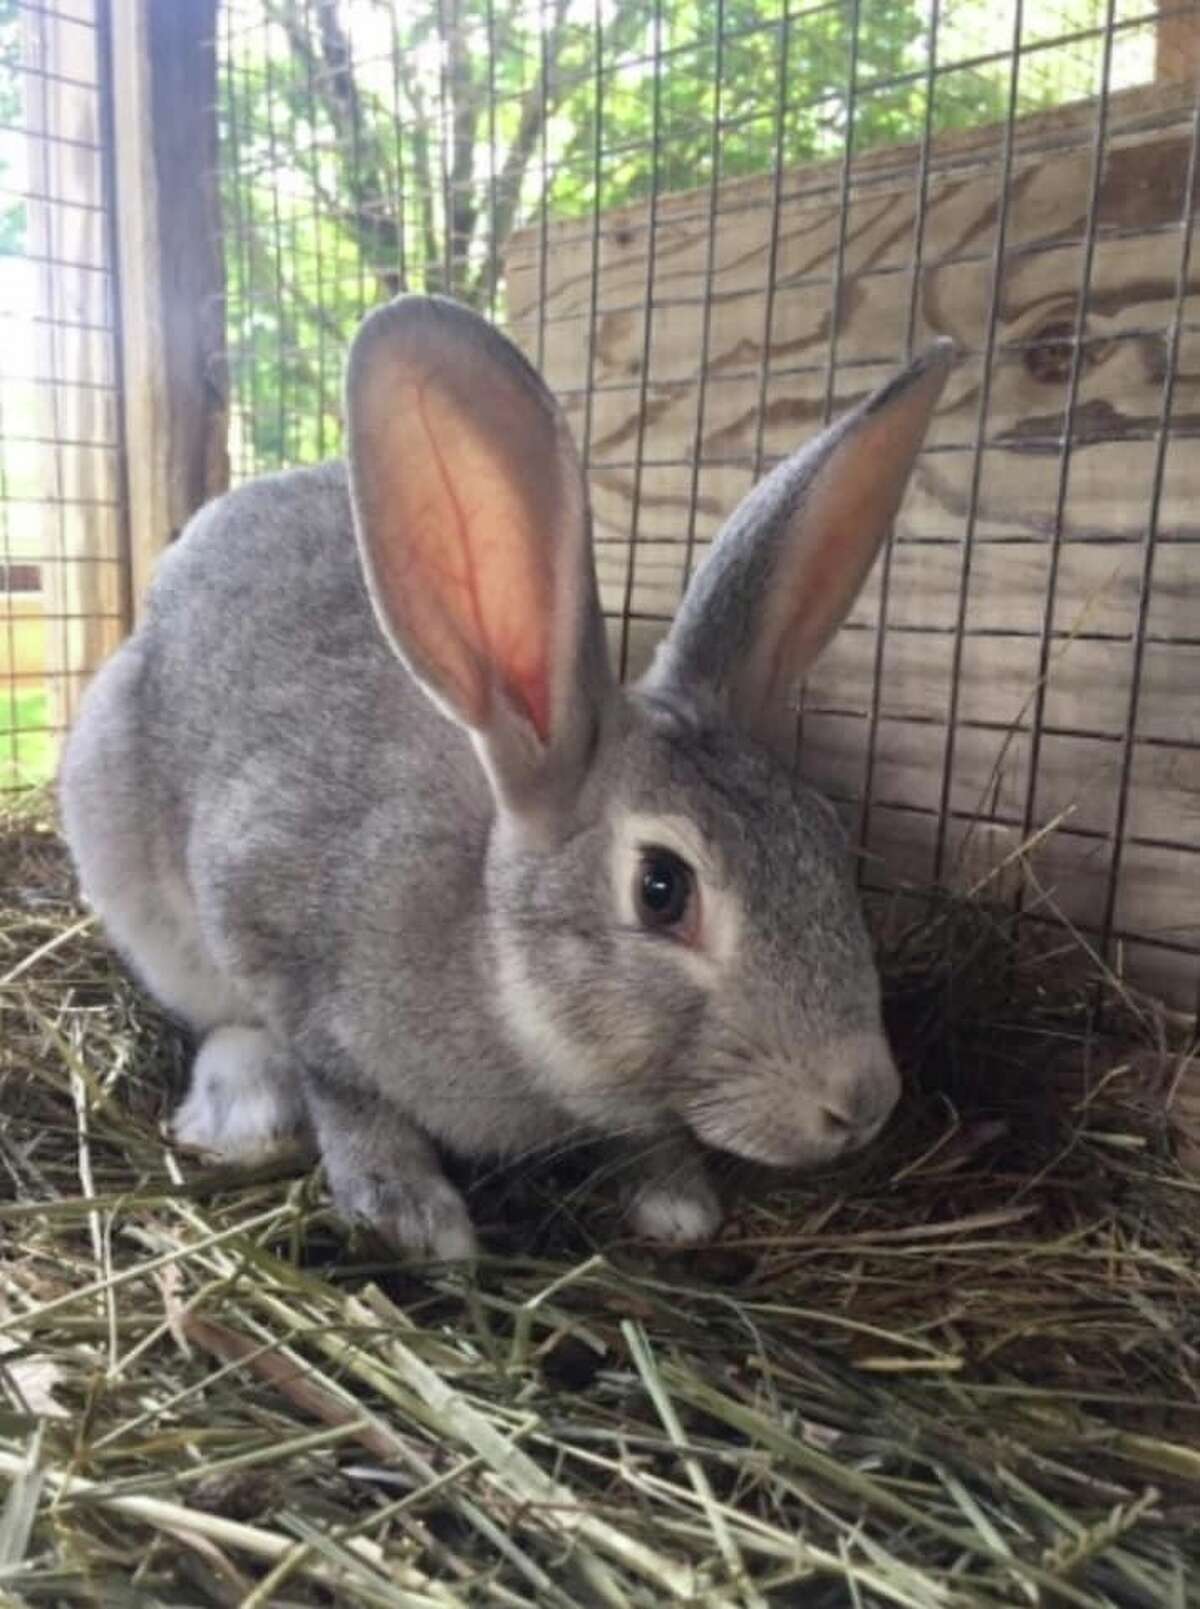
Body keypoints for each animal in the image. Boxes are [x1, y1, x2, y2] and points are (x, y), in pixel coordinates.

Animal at [59, 294, 951, 1259]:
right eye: (662, 889)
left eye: (827, 834)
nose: (861, 1100)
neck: (496, 963)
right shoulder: (269, 926)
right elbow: (339, 1081)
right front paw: (410, 1211)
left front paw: (674, 1198)